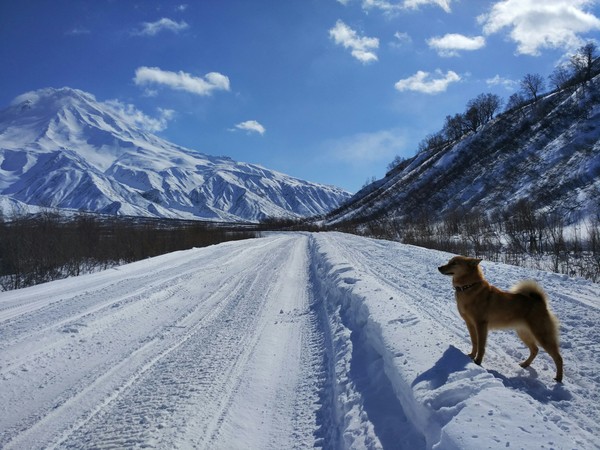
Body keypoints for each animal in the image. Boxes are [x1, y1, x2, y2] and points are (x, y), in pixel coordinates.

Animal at [436, 255, 564, 382]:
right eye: (449, 261)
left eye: (454, 263)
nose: (439, 267)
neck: (468, 287)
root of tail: (540, 302)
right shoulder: (470, 324)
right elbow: (474, 342)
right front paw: (471, 356)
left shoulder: (481, 325)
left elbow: (481, 346)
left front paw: (477, 362)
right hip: (523, 333)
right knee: (535, 350)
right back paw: (525, 364)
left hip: (542, 335)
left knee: (558, 357)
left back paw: (558, 378)